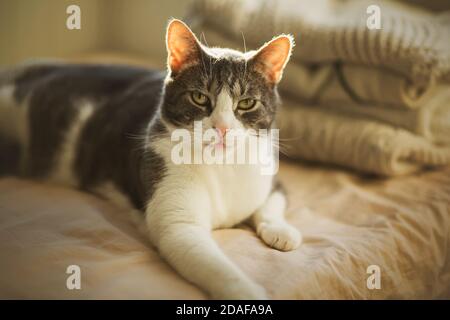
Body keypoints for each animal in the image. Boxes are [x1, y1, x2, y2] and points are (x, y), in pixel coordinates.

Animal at [0, 19, 302, 300]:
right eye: (199, 97)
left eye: (247, 103)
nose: (223, 129)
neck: (223, 167)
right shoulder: (177, 220)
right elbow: (214, 265)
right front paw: (247, 292)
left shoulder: (269, 175)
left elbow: (272, 202)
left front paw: (282, 231)